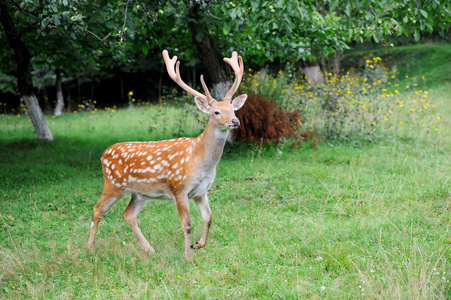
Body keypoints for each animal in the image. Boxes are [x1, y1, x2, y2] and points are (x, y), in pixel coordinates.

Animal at [87, 49, 247, 260]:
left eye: (234, 109)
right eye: (216, 112)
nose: (235, 121)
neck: (201, 161)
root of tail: (103, 154)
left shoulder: (201, 191)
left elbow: (209, 218)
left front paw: (198, 244)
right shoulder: (179, 188)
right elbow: (187, 225)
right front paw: (188, 256)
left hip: (139, 193)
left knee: (128, 215)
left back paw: (149, 249)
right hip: (113, 184)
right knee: (97, 209)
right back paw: (89, 248)